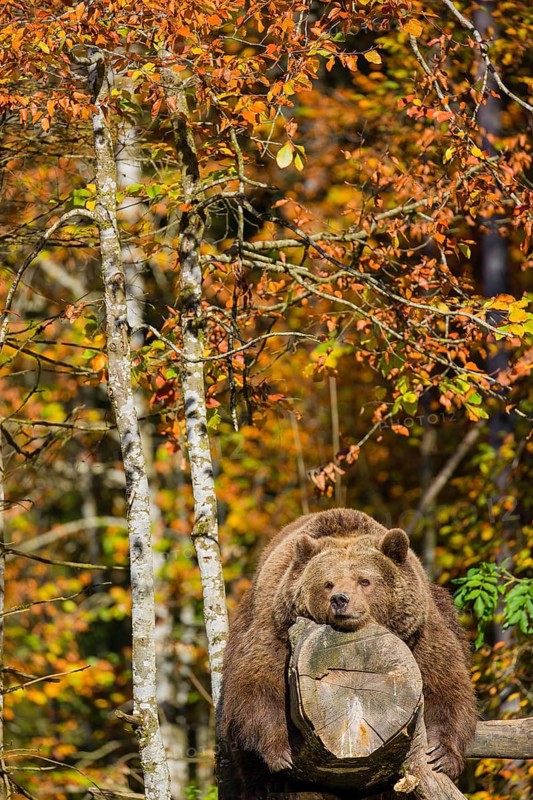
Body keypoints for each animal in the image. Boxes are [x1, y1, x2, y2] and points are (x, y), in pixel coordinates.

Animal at [220, 509, 477, 796]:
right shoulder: (277, 627)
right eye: (328, 583)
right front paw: (280, 752)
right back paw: (266, 784)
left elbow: (444, 681)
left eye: (364, 580)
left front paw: (441, 753)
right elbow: (257, 682)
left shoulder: (420, 634)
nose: (341, 599)